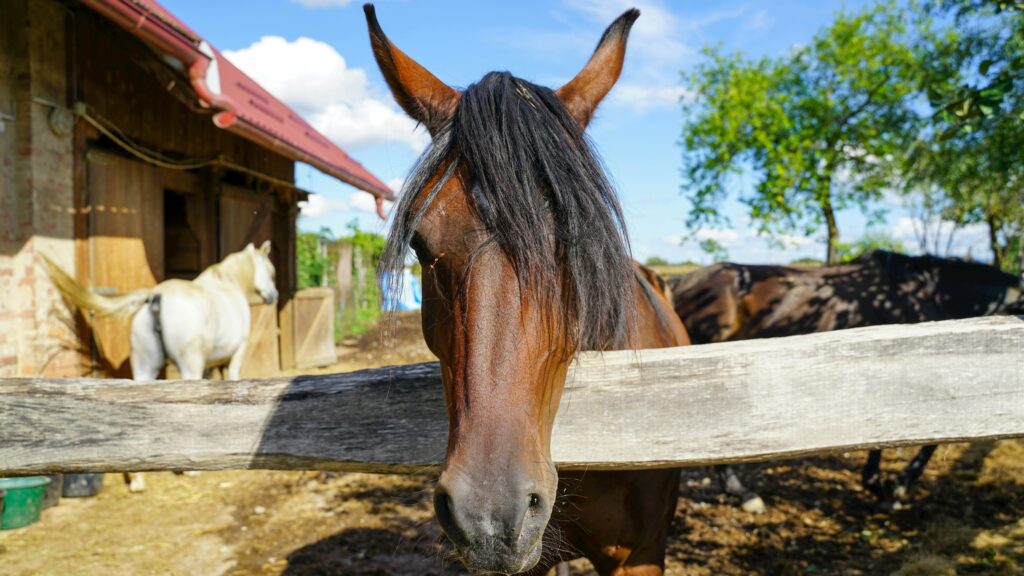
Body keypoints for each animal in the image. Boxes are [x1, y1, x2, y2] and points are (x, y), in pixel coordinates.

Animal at [41, 241, 278, 491]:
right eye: (271, 272)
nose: (274, 295)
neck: (228, 283)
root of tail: (156, 296)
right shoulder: (236, 354)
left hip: (144, 368)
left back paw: (137, 480)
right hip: (188, 366)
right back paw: (190, 469)